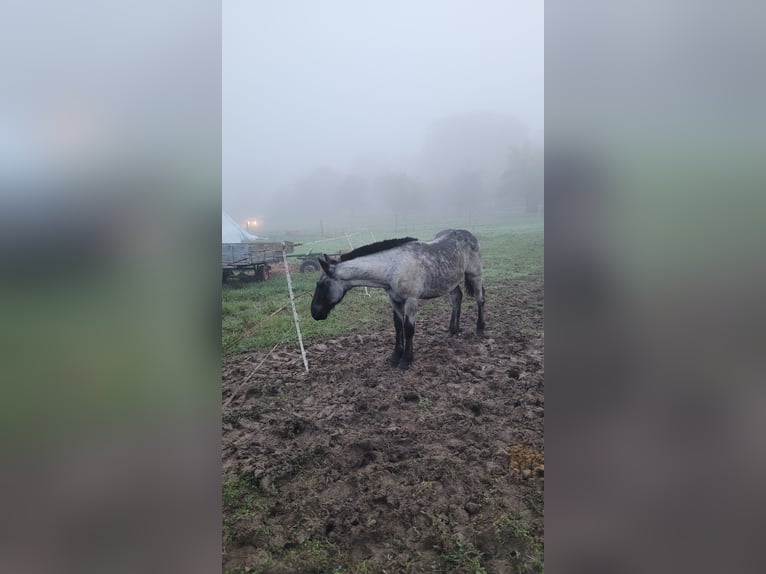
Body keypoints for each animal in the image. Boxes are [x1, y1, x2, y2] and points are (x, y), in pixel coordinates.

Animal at [310, 231, 486, 372]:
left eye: (322, 285)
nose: (315, 312)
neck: (393, 267)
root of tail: (469, 235)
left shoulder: (411, 301)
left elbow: (408, 329)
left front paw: (406, 360)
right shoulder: (394, 300)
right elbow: (398, 326)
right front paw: (395, 356)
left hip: (474, 275)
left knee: (480, 299)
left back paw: (479, 330)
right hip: (451, 282)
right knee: (457, 299)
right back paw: (452, 331)